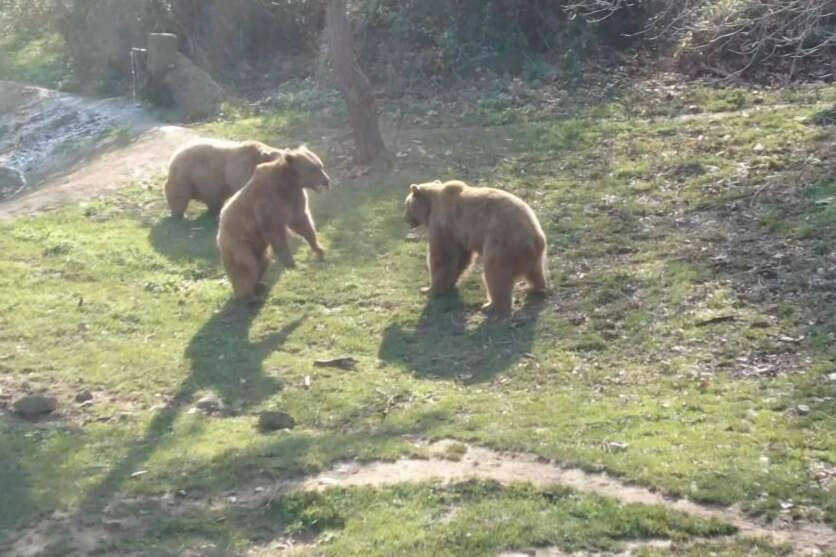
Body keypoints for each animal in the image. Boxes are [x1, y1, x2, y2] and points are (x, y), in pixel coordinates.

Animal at [216, 143, 330, 300]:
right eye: (313, 168)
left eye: (321, 165)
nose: (327, 180)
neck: (288, 183)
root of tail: (218, 234)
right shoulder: (269, 204)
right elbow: (276, 233)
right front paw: (293, 263)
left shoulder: (295, 200)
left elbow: (303, 224)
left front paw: (319, 249)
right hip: (238, 242)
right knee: (246, 266)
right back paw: (248, 296)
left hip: (257, 247)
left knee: (262, 261)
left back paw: (259, 284)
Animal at [404, 179, 548, 318]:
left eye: (406, 205)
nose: (404, 218)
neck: (431, 207)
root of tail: (534, 239)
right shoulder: (459, 234)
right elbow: (461, 258)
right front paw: (449, 284)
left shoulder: (444, 224)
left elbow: (442, 257)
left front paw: (429, 289)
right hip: (533, 253)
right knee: (536, 272)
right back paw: (536, 288)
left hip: (502, 244)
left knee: (496, 275)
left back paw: (491, 305)